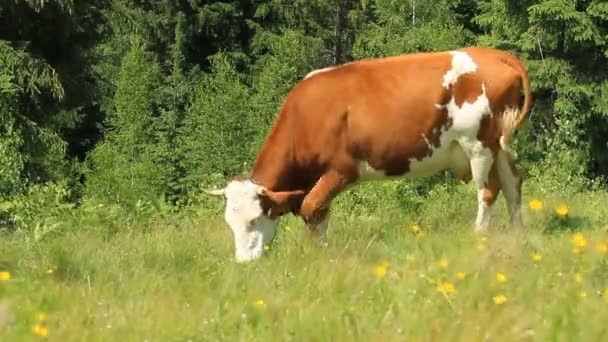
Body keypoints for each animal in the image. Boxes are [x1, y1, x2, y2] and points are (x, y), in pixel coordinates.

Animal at [208, 46, 532, 264]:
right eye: (229, 223)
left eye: (253, 220)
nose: (244, 262)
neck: (306, 117)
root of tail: (493, 53)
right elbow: (318, 214)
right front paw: (320, 251)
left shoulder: (341, 170)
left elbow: (311, 208)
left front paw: (321, 253)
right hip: (499, 144)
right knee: (512, 182)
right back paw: (516, 233)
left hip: (477, 143)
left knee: (489, 189)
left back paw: (479, 234)